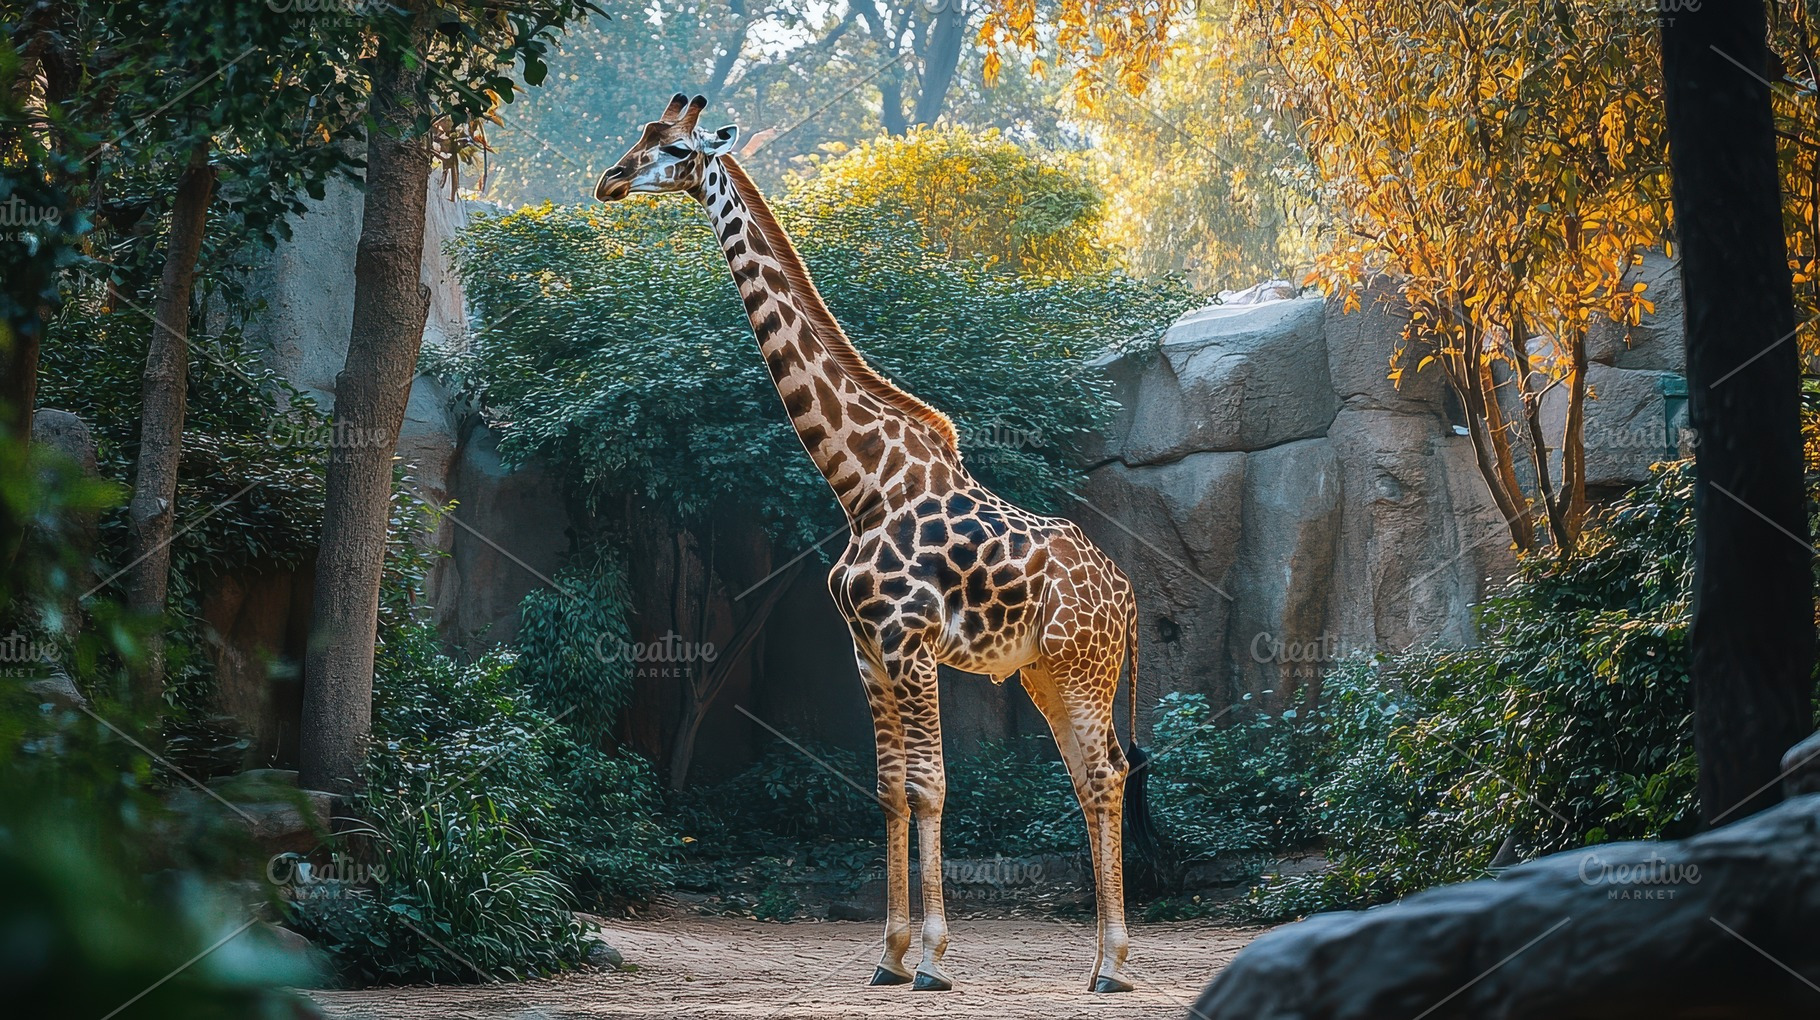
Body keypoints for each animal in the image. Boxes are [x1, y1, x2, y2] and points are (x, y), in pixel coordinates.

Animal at [597, 94, 1150, 994]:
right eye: (640, 137)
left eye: (673, 150)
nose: (608, 180)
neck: (860, 482)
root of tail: (1128, 596)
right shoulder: (864, 647)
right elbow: (890, 787)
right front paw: (888, 956)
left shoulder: (909, 641)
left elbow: (930, 786)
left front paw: (933, 959)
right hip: (1044, 670)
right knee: (1089, 774)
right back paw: (1104, 960)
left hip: (1081, 668)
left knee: (1104, 773)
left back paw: (1113, 964)